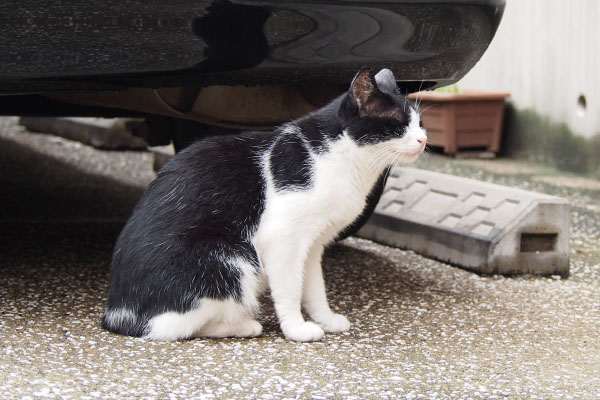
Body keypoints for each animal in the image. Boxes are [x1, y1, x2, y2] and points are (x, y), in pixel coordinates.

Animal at [105, 68, 428, 340]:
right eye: (398, 124)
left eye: (420, 123)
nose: (424, 140)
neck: (343, 157)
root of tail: (117, 312)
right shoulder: (283, 239)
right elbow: (290, 289)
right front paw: (296, 329)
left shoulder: (313, 245)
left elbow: (314, 287)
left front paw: (325, 319)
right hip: (230, 258)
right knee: (172, 326)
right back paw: (242, 326)